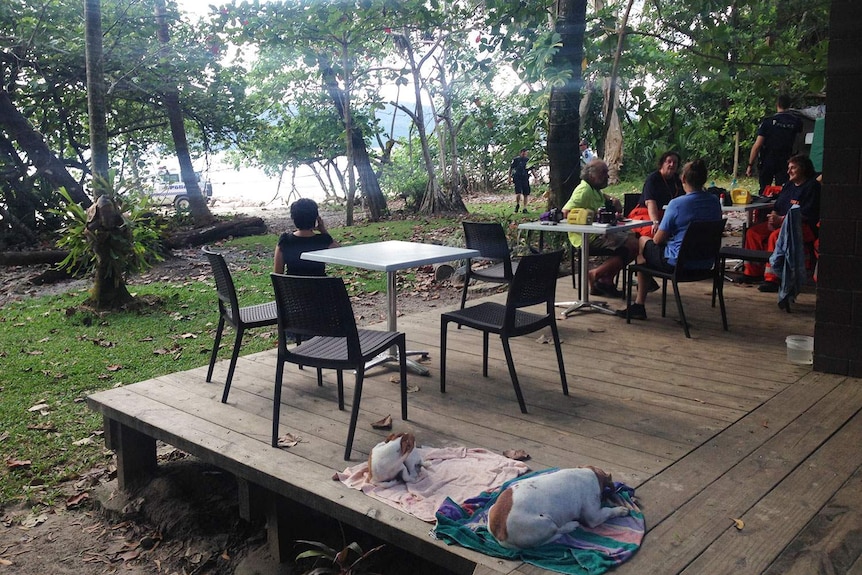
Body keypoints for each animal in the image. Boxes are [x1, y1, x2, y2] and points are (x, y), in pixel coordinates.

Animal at [490, 468, 632, 548]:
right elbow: (608, 512)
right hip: (546, 523)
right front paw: (621, 510)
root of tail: (499, 533)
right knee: (557, 531)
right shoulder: (593, 517)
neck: (590, 473)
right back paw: (571, 526)